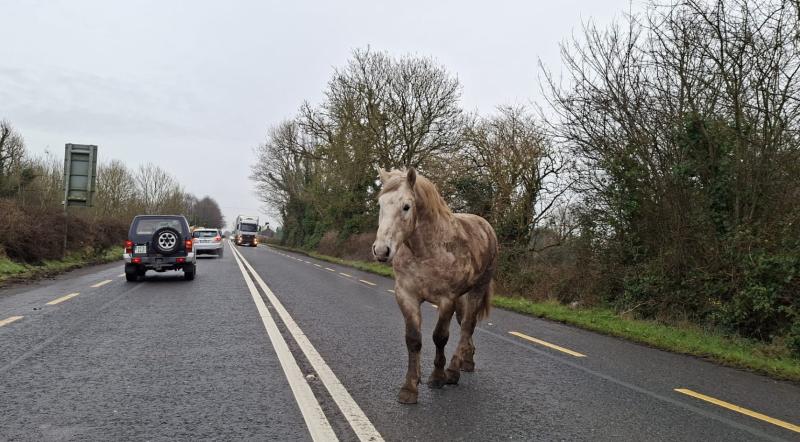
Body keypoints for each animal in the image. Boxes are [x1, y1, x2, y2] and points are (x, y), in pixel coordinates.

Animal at [373, 167, 498, 404]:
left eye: (406, 206)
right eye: (380, 204)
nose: (382, 251)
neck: (427, 251)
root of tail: (486, 226)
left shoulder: (446, 300)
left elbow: (440, 337)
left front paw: (438, 377)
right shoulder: (406, 295)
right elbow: (413, 340)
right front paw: (410, 387)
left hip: (477, 290)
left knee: (467, 326)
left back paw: (454, 371)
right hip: (462, 298)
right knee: (466, 325)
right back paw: (468, 361)